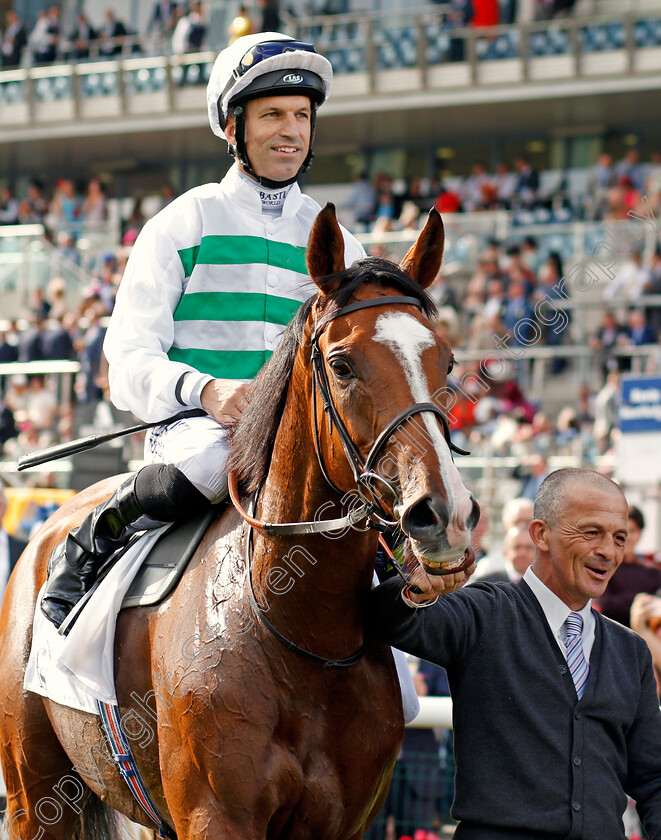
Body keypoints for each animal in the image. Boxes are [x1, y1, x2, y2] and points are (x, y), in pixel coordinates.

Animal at [0, 205, 476, 840]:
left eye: (446, 361)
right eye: (342, 364)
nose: (445, 513)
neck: (300, 631)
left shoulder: (338, 821)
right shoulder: (215, 814)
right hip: (34, 793)